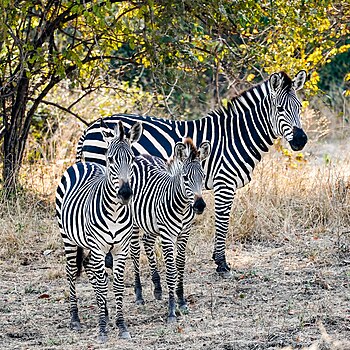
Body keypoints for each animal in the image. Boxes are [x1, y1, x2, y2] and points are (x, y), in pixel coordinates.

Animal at [55, 120, 142, 342]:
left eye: (131, 158)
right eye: (110, 159)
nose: (125, 193)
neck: (115, 213)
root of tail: (83, 163)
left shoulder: (121, 249)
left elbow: (117, 285)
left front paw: (121, 325)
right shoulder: (99, 247)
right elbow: (103, 284)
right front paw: (102, 329)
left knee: (88, 266)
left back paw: (105, 312)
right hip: (69, 239)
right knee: (71, 271)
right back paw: (75, 318)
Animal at [129, 138, 211, 322]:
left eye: (202, 177)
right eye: (185, 178)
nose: (200, 206)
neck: (182, 206)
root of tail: (140, 155)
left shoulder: (184, 233)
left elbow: (180, 265)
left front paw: (181, 301)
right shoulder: (167, 235)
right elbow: (172, 270)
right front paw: (172, 310)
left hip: (150, 223)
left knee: (147, 242)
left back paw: (158, 288)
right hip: (133, 223)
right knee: (135, 252)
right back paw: (139, 295)